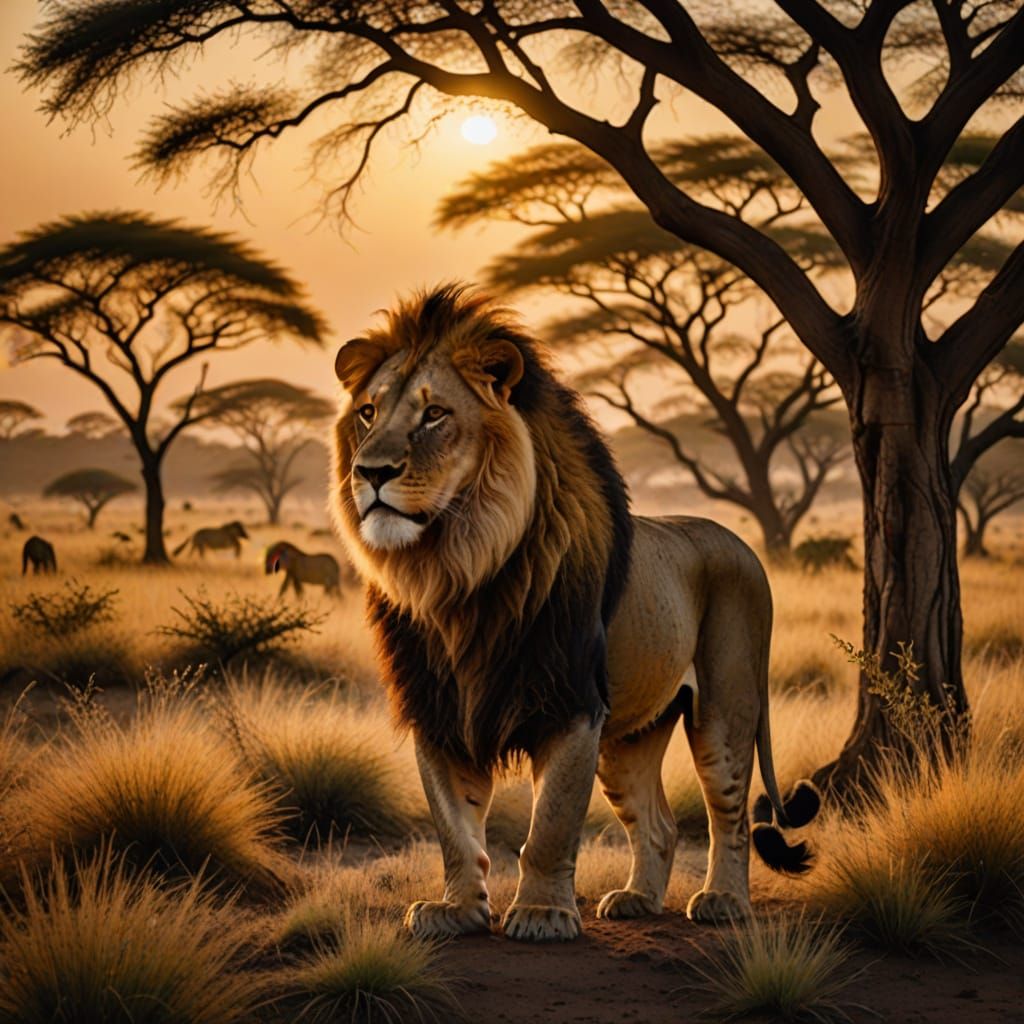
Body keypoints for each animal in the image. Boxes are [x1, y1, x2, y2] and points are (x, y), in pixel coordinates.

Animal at [331, 284, 819, 943]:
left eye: (435, 415)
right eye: (368, 413)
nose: (371, 472)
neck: (456, 575)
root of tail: (742, 544)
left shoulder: (572, 705)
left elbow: (551, 825)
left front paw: (541, 914)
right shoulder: (439, 710)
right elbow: (454, 827)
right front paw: (456, 912)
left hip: (725, 706)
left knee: (731, 815)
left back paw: (723, 902)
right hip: (629, 736)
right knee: (658, 824)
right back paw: (638, 899)